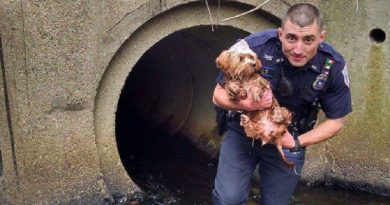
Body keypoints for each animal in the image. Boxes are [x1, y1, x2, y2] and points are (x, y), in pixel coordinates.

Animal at [216, 40, 292, 168]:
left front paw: (255, 92)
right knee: (251, 131)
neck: (244, 76)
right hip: (257, 130)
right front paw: (234, 88)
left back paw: (278, 115)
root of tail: (273, 134)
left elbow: (256, 82)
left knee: (286, 117)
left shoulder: (262, 82)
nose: (253, 64)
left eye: (251, 57)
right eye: (241, 58)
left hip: (282, 114)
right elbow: (229, 84)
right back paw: (245, 120)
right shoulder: (231, 82)